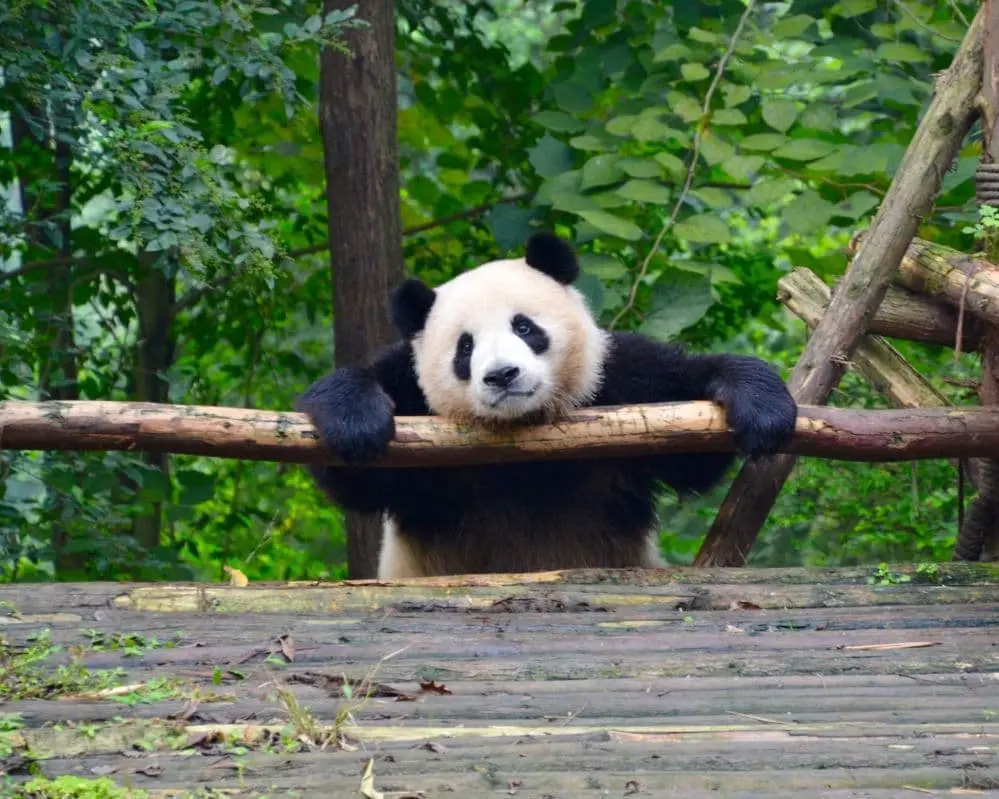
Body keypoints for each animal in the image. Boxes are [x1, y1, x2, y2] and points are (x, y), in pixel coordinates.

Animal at [297, 232, 797, 578]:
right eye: (465, 347)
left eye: (524, 327)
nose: (502, 375)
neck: (524, 427)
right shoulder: (413, 400)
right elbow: (360, 478)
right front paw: (356, 420)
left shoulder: (616, 381)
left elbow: (689, 443)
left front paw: (761, 405)